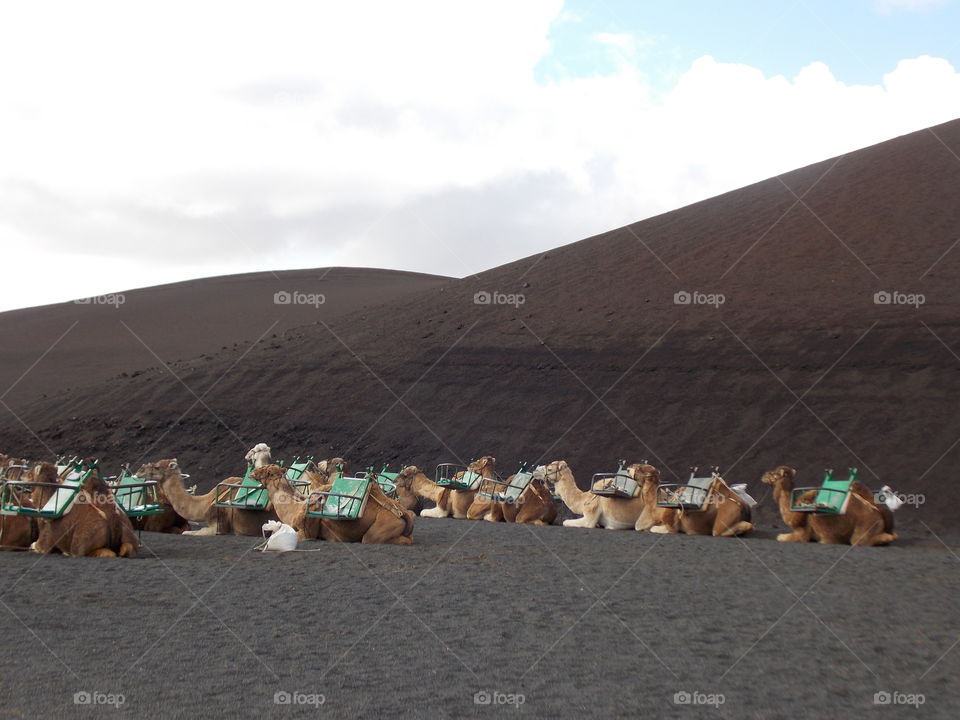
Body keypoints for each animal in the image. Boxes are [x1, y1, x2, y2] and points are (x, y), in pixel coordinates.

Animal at [255, 464, 416, 544]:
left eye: (266, 470)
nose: (253, 472)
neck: (292, 509)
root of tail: (403, 513)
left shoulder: (305, 533)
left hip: (383, 526)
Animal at [760, 466, 896, 544]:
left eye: (773, 473)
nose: (763, 475)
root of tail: (878, 513)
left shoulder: (802, 532)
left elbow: (782, 537)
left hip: (865, 527)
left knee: (860, 541)